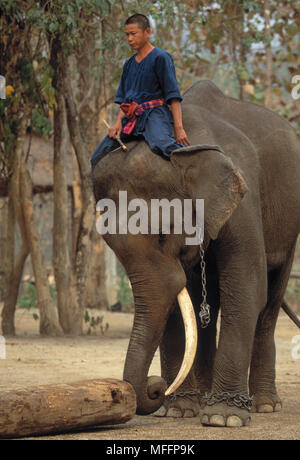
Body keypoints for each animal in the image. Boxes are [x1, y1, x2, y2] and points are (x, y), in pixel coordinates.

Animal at [91, 80, 300, 428]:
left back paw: (265, 406)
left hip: (289, 223)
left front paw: (223, 419)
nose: (156, 387)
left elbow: (246, 287)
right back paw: (203, 400)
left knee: (270, 297)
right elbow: (178, 299)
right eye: (109, 243)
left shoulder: (243, 198)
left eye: (165, 232)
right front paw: (178, 411)